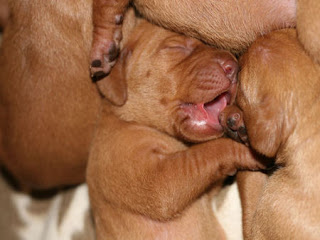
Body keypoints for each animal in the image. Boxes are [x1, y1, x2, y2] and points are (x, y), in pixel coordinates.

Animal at [87, 9, 264, 240]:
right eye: (175, 47)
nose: (234, 67)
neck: (132, 121)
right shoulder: (155, 181)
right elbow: (207, 152)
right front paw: (247, 150)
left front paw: (237, 120)